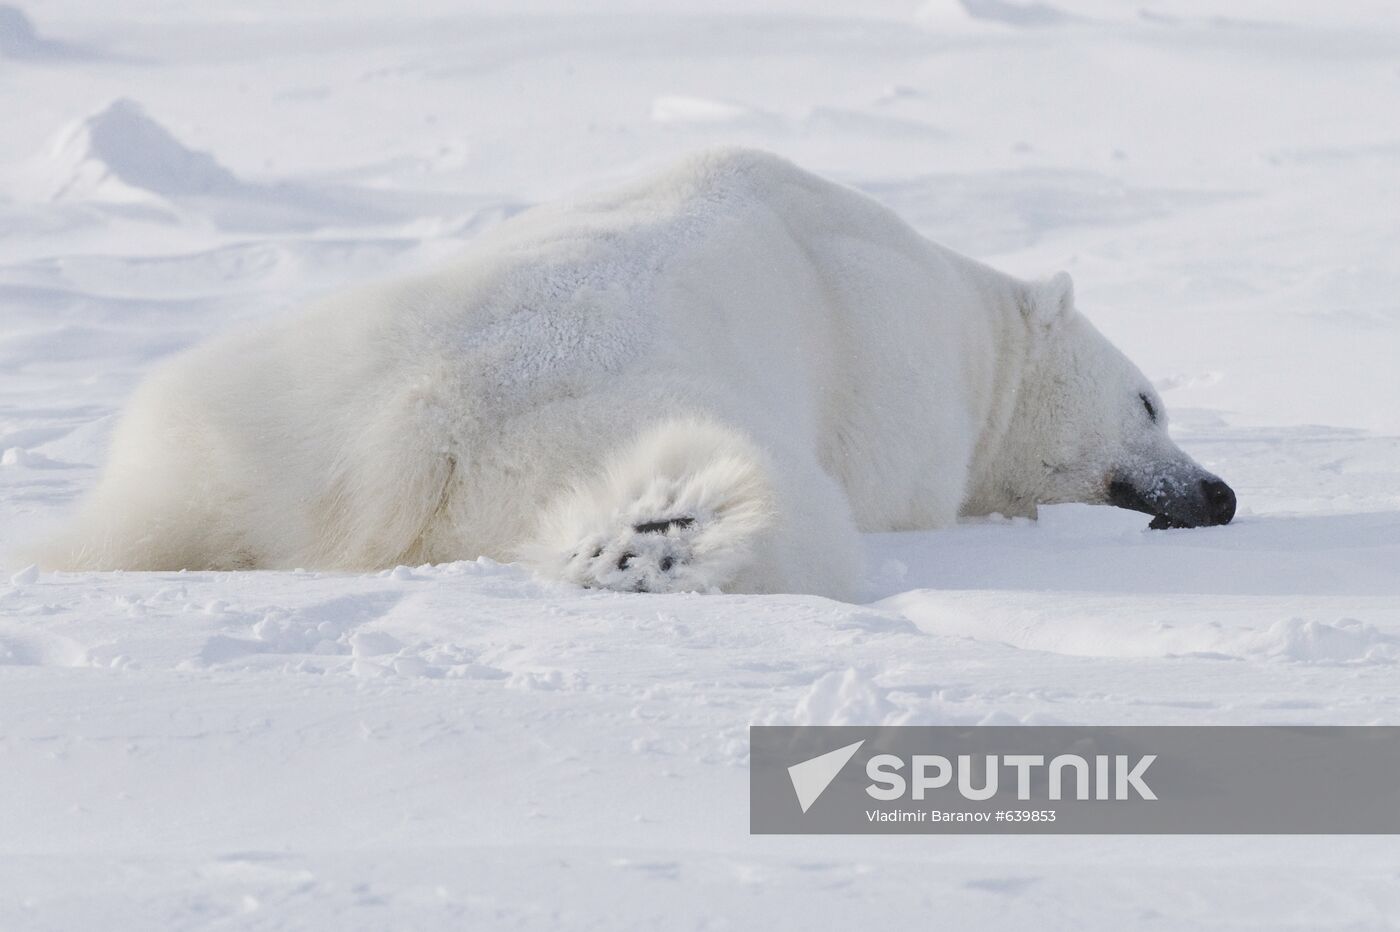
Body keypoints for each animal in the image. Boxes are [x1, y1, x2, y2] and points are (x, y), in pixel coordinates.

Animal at [38, 145, 1232, 596]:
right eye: (1149, 401)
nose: (1216, 491)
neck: (967, 319)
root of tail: (409, 438)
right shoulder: (902, 383)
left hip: (255, 402)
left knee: (154, 503)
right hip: (615, 411)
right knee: (770, 497)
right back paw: (657, 538)